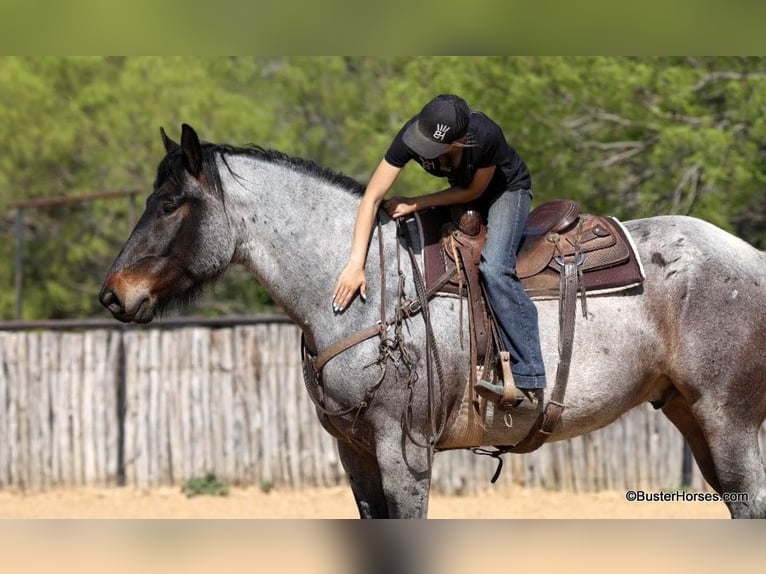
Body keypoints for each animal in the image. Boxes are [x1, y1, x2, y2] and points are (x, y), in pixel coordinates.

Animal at [99, 124, 766, 520]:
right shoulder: (355, 454)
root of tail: (751, 257)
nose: (112, 295)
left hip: (728, 423)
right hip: (692, 416)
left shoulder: (405, 452)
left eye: (168, 204)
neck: (362, 288)